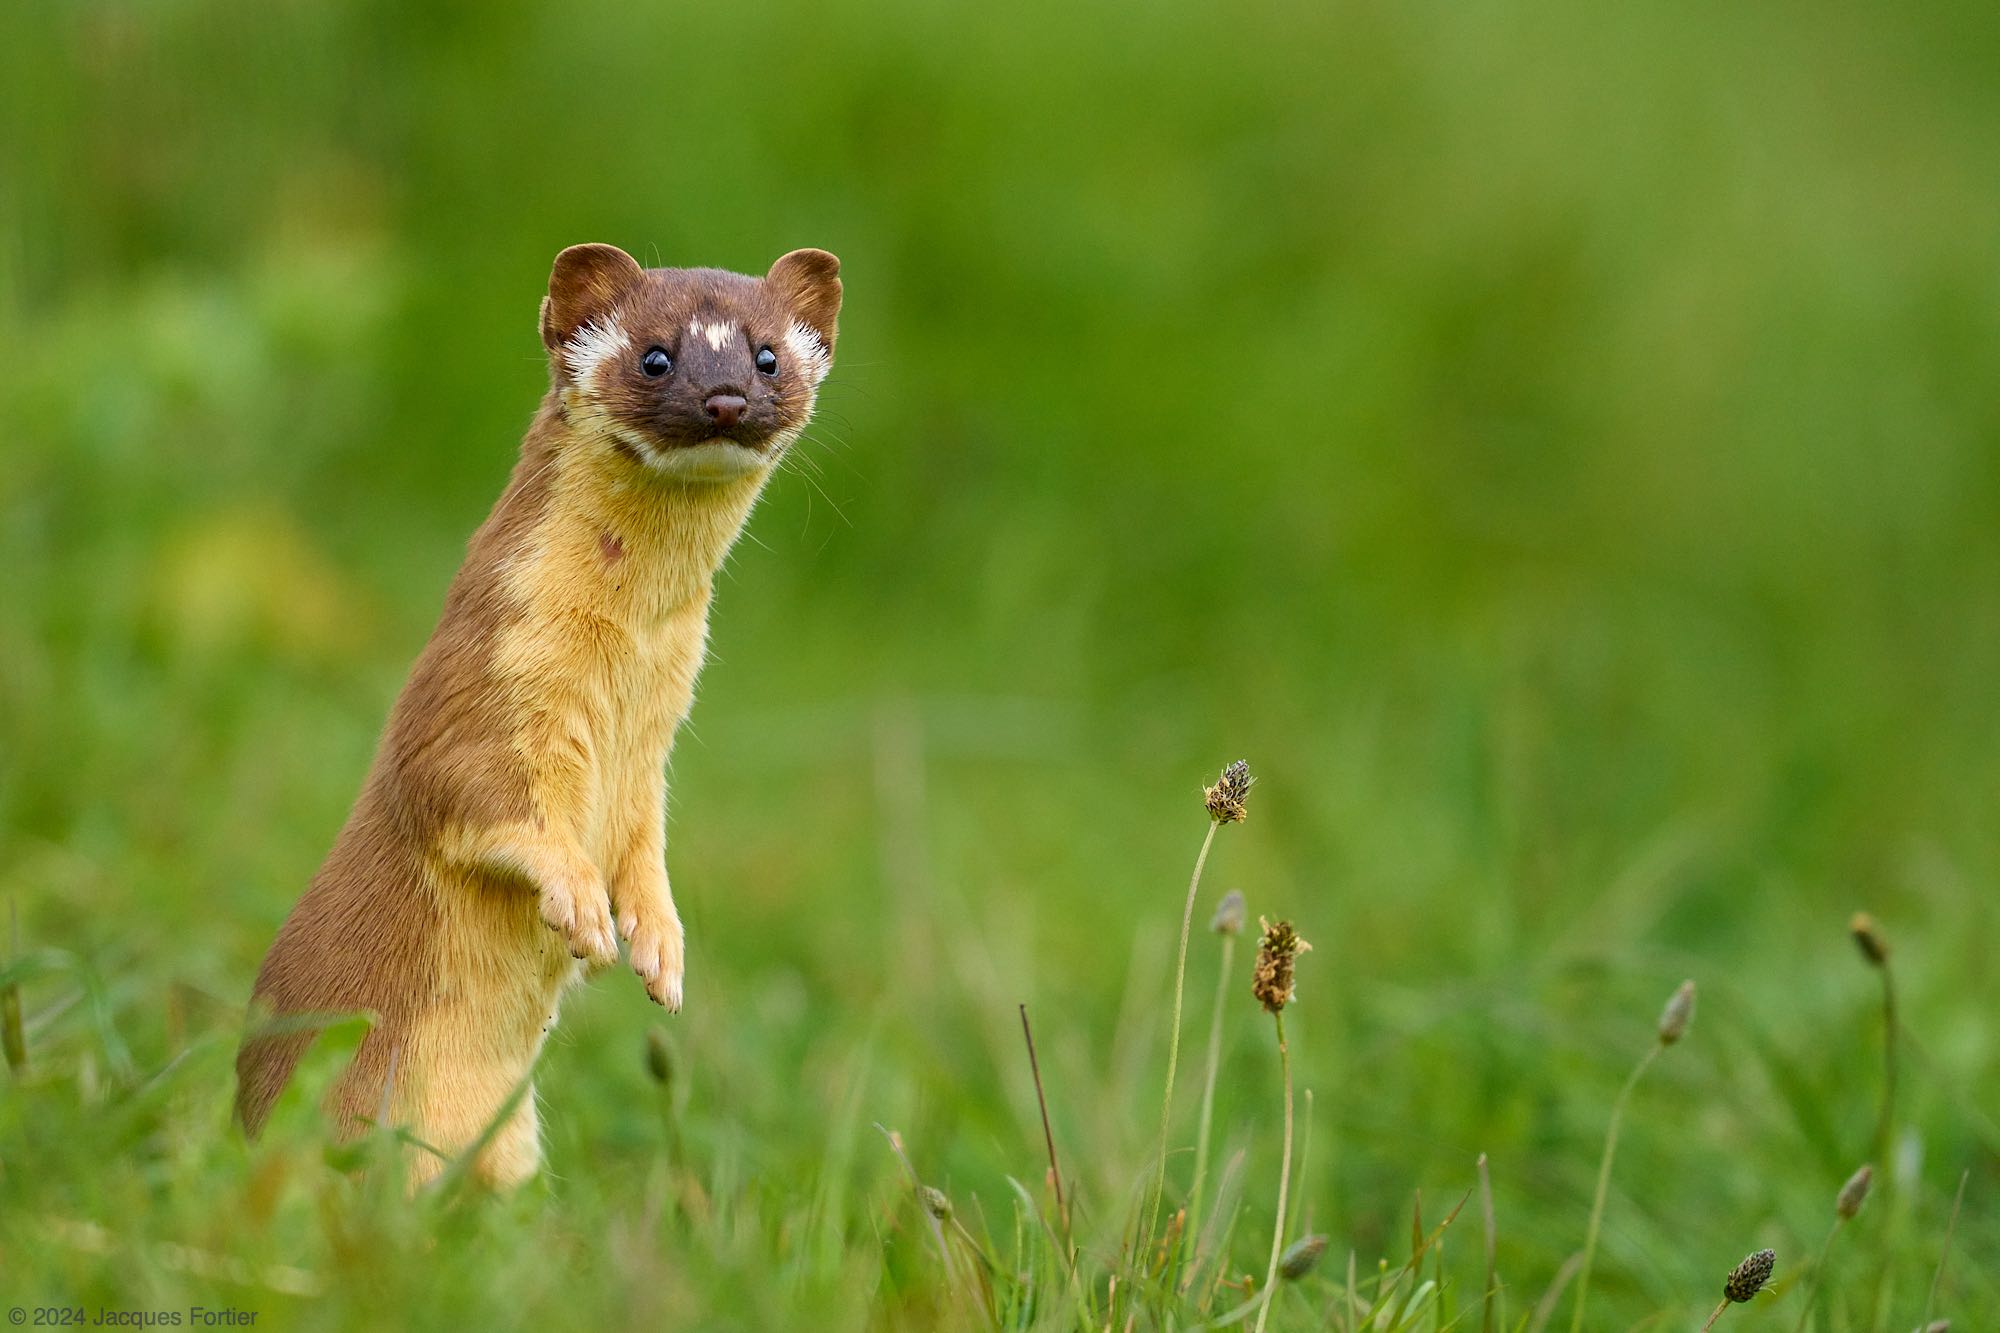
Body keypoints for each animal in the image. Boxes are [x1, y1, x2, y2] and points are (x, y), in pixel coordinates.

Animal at [238, 244, 840, 1176]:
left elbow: (643, 847)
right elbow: (481, 797)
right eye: (655, 354)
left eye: (769, 354)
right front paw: (583, 906)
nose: (726, 397)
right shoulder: (482, 689)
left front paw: (660, 946)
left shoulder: (651, 760)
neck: (622, 675)